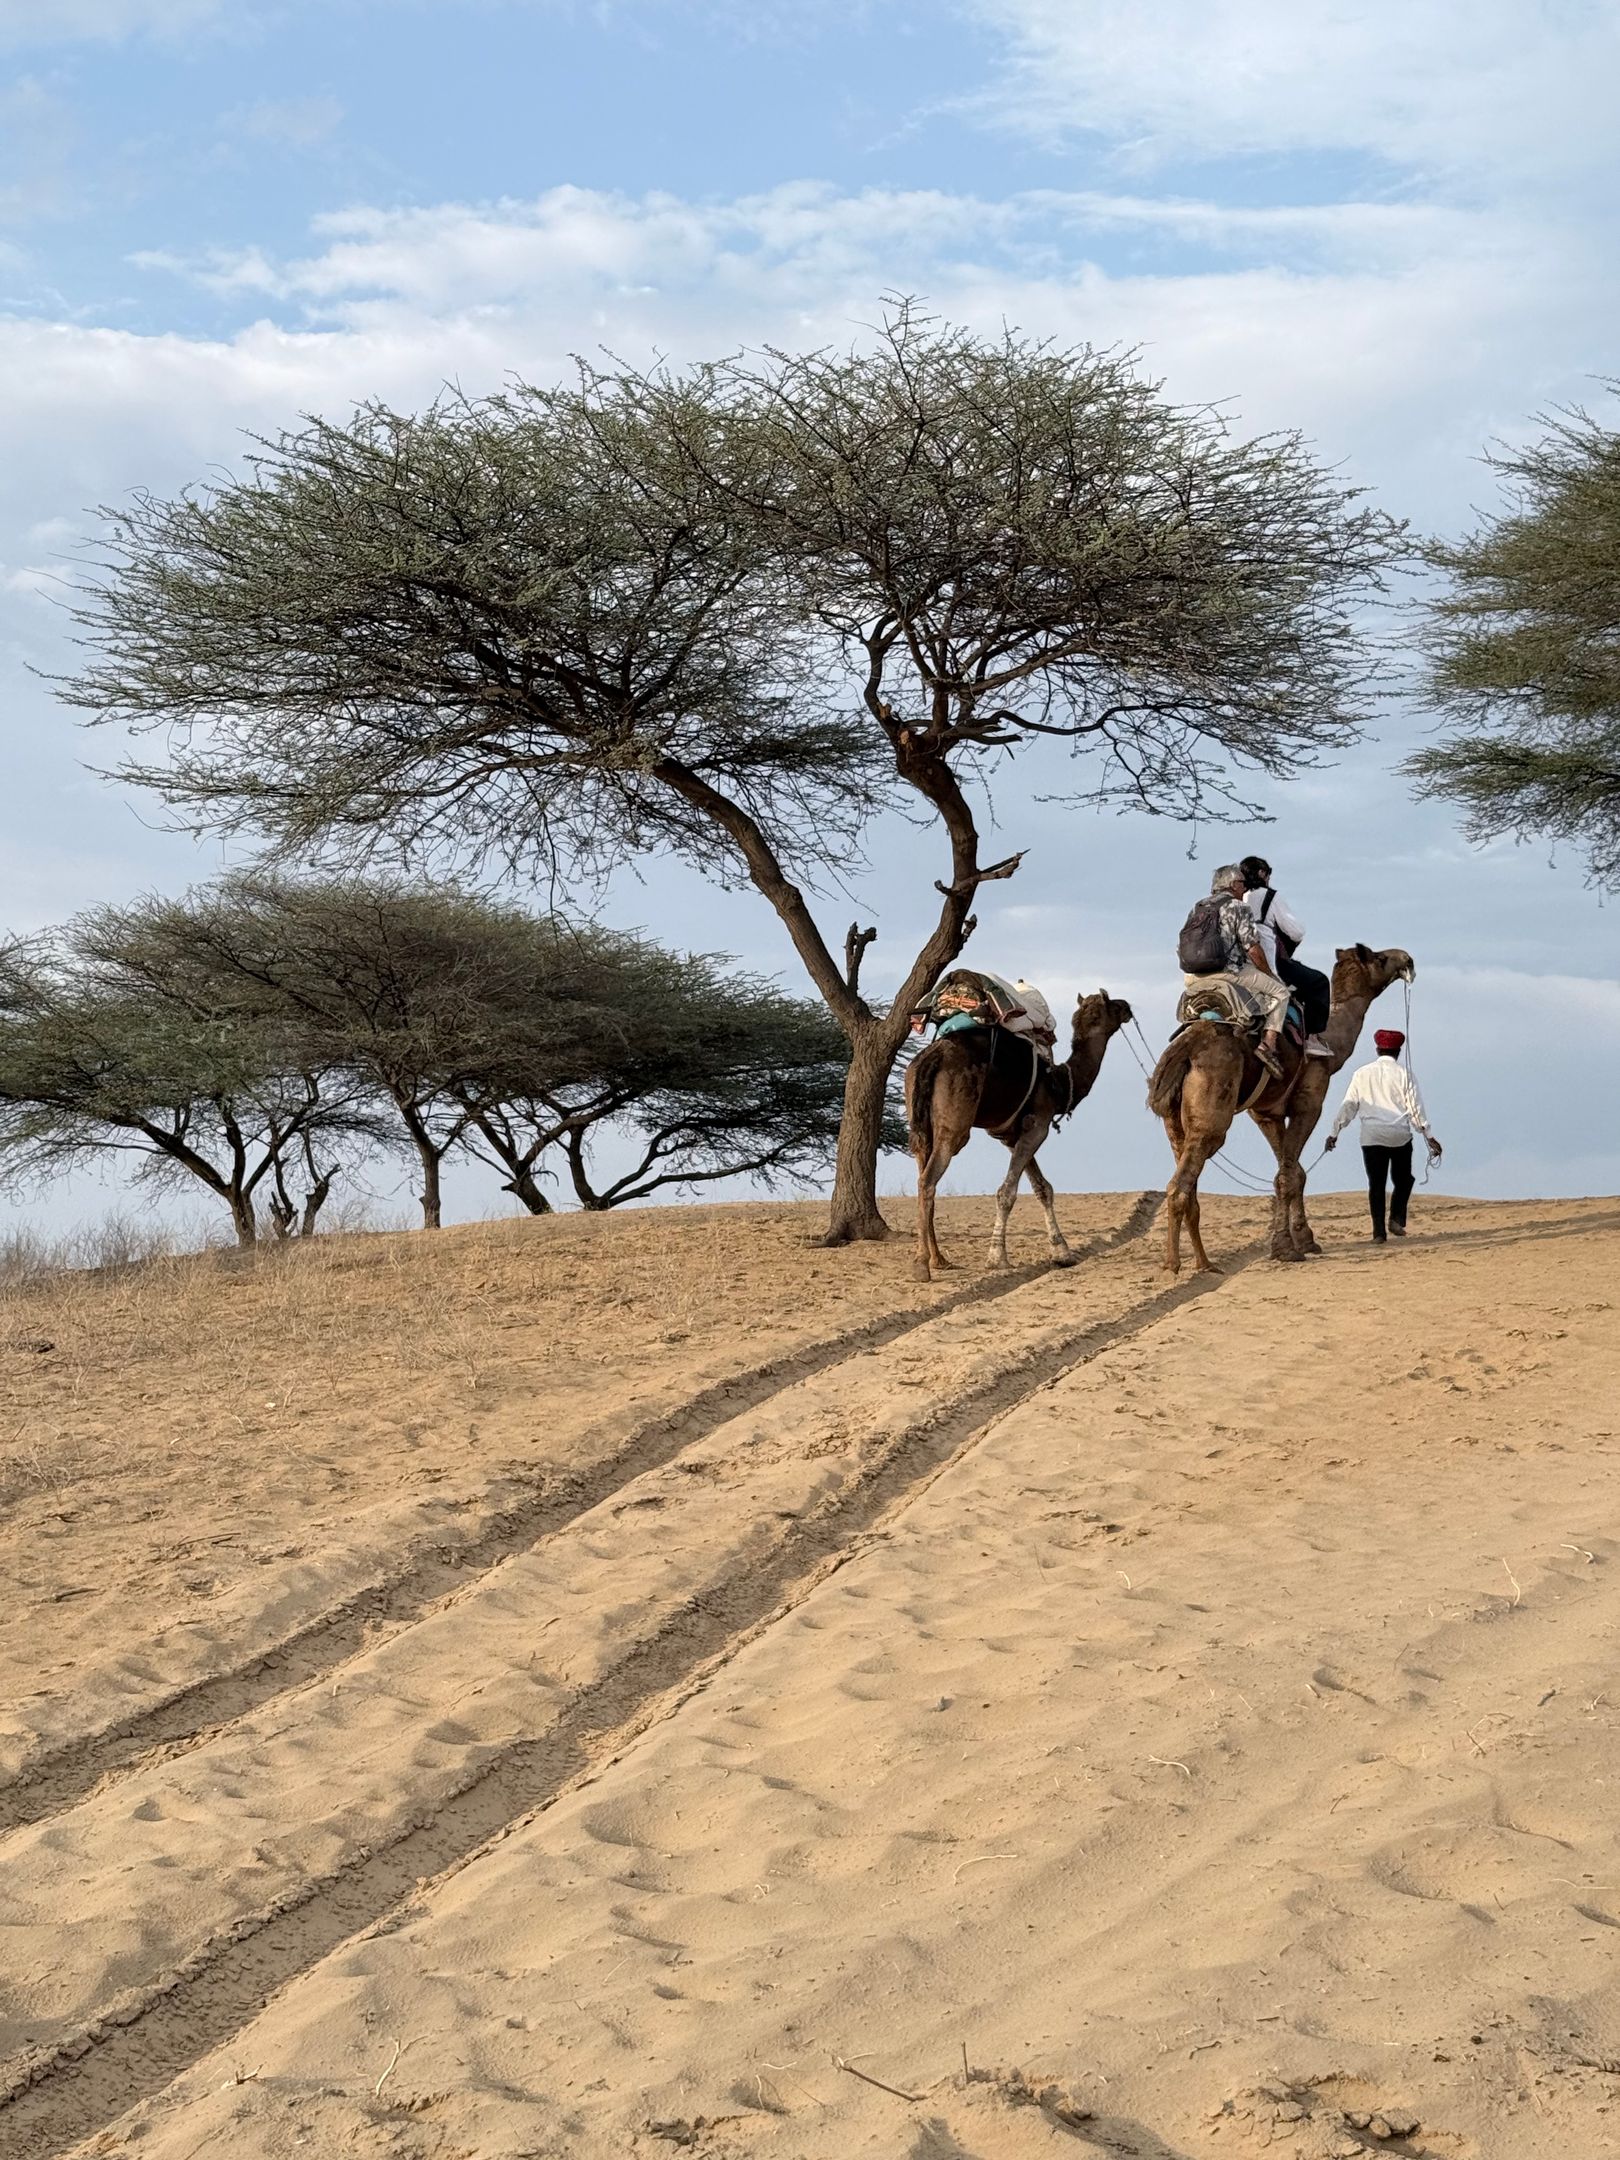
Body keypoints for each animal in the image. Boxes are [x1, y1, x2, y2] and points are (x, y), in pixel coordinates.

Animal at [906, 990, 1134, 1283]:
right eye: (1110, 1005)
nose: (1127, 1006)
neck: (1060, 1085)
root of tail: (931, 1058)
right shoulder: (1039, 1126)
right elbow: (1007, 1192)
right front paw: (997, 1258)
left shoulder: (1012, 1136)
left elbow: (1043, 1188)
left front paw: (1062, 1253)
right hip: (954, 1126)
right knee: (928, 1179)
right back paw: (922, 1264)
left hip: (920, 1124)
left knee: (923, 1174)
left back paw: (939, 1259)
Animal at [1148, 943, 1414, 1275]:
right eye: (1379, 957)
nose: (1407, 958)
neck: (1330, 1042)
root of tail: (1187, 1046)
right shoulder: (1309, 1102)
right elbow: (1288, 1177)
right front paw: (1286, 1249)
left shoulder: (1266, 1113)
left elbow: (1291, 1172)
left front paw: (1306, 1240)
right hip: (1213, 1108)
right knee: (1183, 1180)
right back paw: (1172, 1264)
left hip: (1173, 1118)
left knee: (1186, 1176)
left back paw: (1204, 1263)